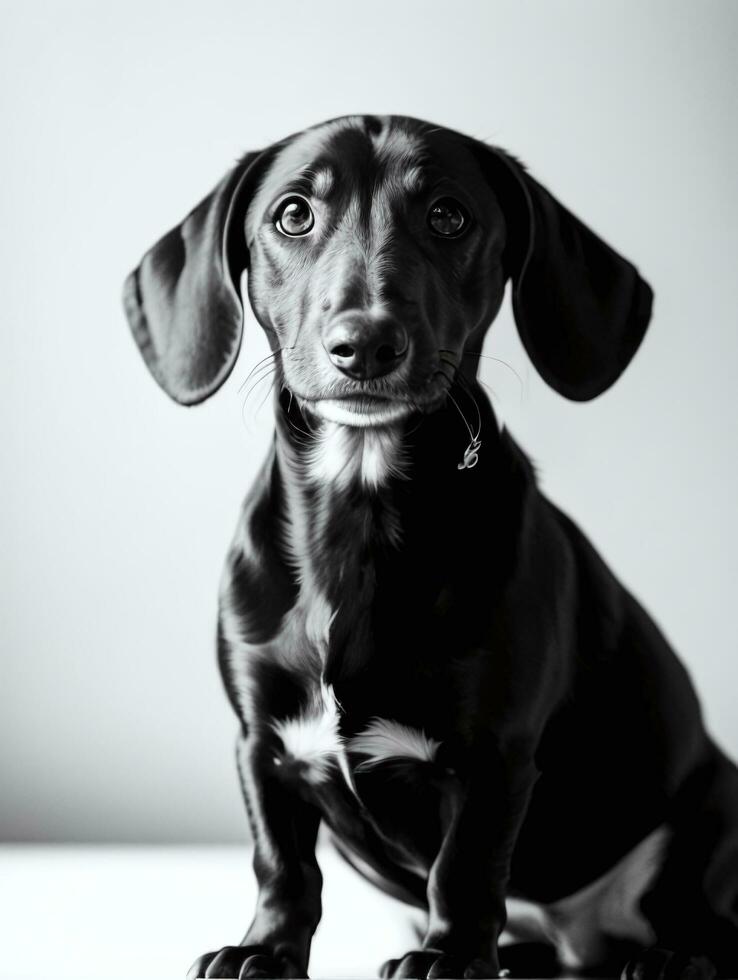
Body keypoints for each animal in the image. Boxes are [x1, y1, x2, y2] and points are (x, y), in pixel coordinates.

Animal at [122, 117, 736, 980]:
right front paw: (265, 949)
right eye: (292, 214)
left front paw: (448, 955)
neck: (358, 517)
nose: (366, 343)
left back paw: (670, 958)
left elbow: (466, 866)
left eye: (449, 216)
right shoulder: (261, 745)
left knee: (704, 917)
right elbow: (283, 865)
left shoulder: (495, 757)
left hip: (706, 817)